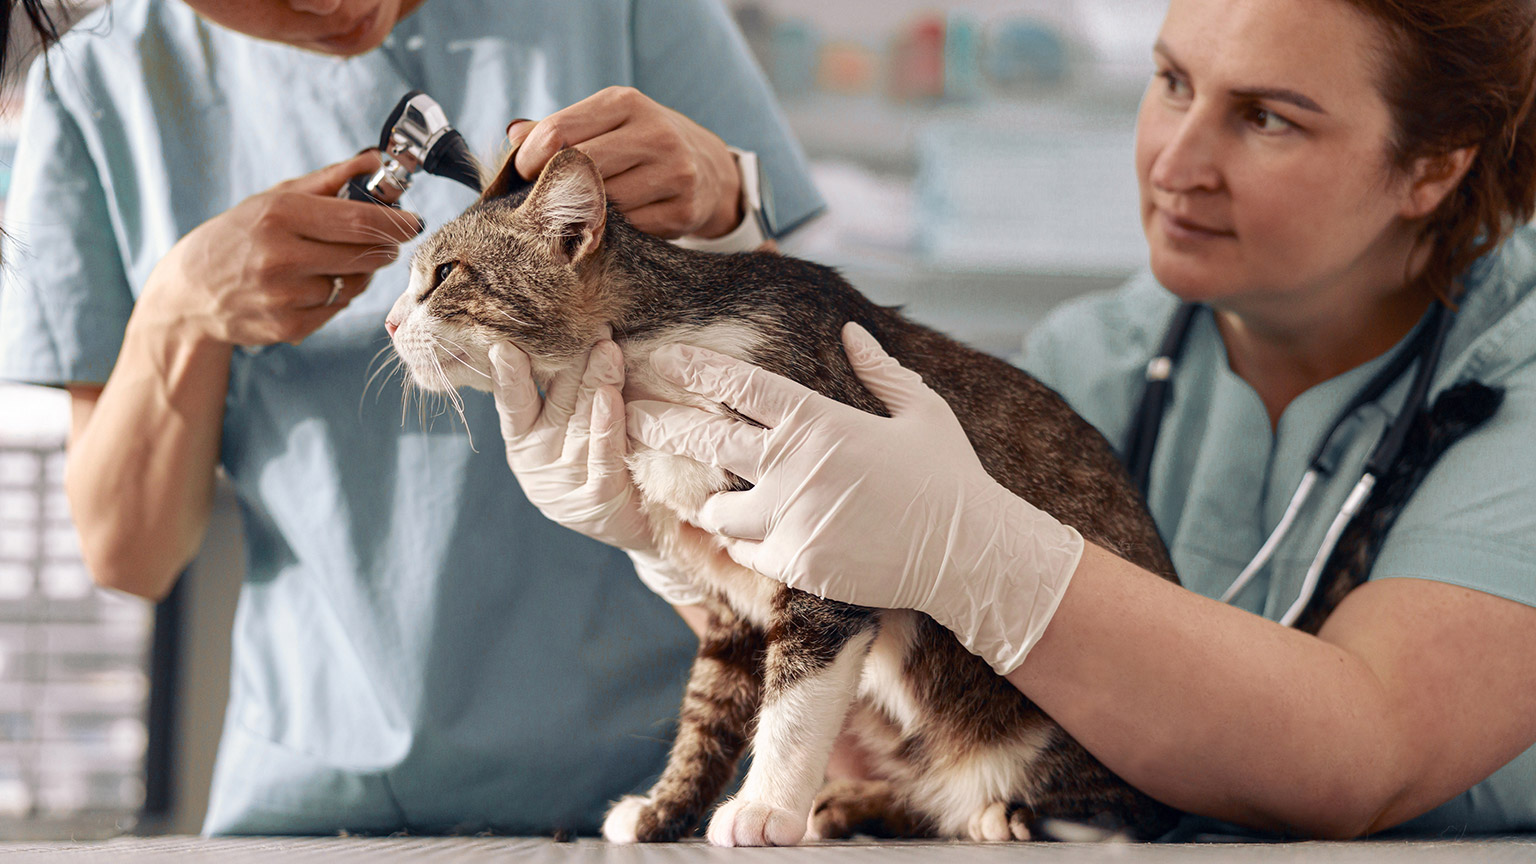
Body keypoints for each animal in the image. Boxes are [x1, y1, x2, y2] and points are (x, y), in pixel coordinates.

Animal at [380, 147, 1173, 842]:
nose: (387, 322)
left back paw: (1004, 814)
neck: (655, 358)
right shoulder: (729, 600)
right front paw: (667, 808)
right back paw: (862, 803)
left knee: (1130, 807)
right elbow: (709, 709)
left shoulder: (829, 545)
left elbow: (793, 700)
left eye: (443, 274)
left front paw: (764, 808)